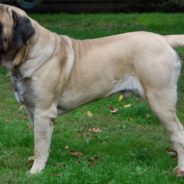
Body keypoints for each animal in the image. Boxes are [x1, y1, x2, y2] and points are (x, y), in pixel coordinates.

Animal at [0, 3, 184, 176]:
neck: (29, 51)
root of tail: (163, 39)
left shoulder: (43, 113)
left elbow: (40, 145)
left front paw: (35, 171)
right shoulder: (33, 112)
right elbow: (40, 141)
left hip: (160, 100)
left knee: (178, 135)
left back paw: (180, 169)